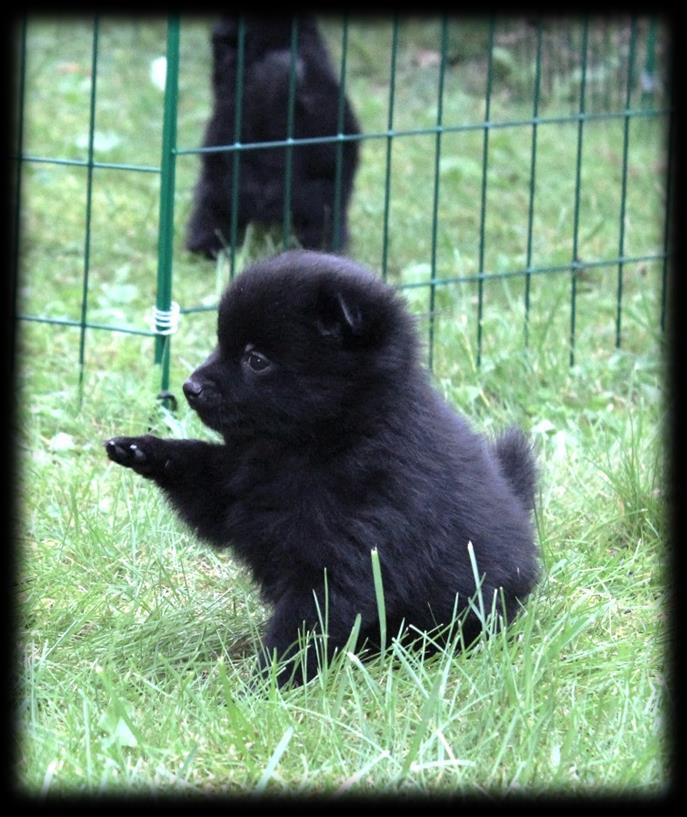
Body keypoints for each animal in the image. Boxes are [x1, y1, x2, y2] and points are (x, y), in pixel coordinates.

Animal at [105, 252, 540, 684]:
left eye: (256, 360)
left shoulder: (349, 551)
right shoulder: (235, 486)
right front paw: (142, 449)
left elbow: (307, 624)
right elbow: (200, 475)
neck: (320, 442)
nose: (190, 387)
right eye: (219, 344)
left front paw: (267, 684)